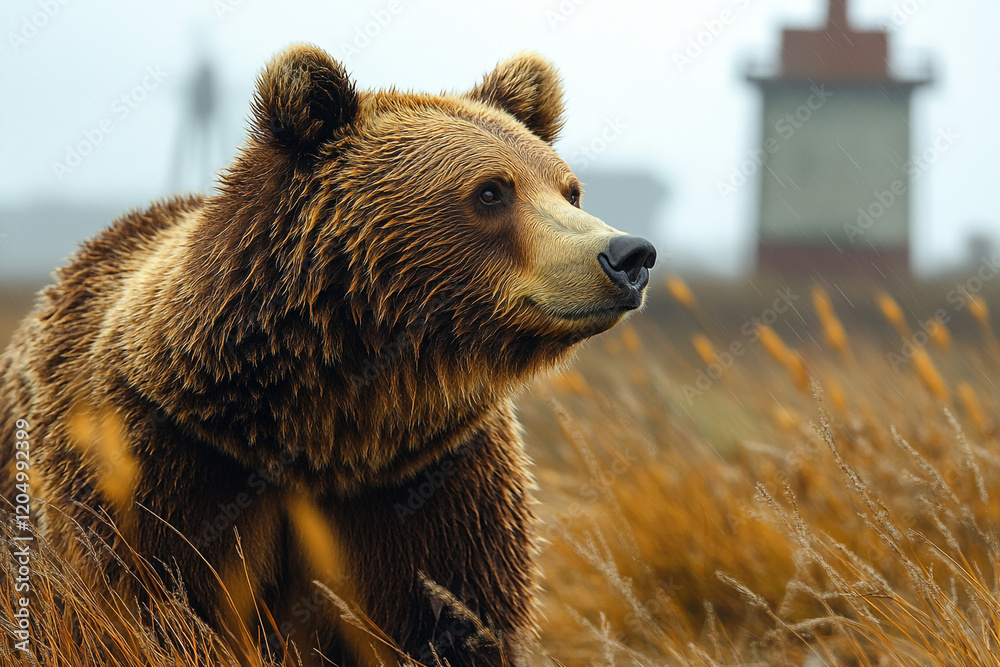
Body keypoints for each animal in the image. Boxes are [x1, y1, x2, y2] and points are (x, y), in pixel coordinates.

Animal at [0, 44, 655, 666]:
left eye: (570, 190)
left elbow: (458, 622)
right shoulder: (161, 460)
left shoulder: (431, 480)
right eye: (491, 191)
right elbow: (148, 607)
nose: (629, 255)